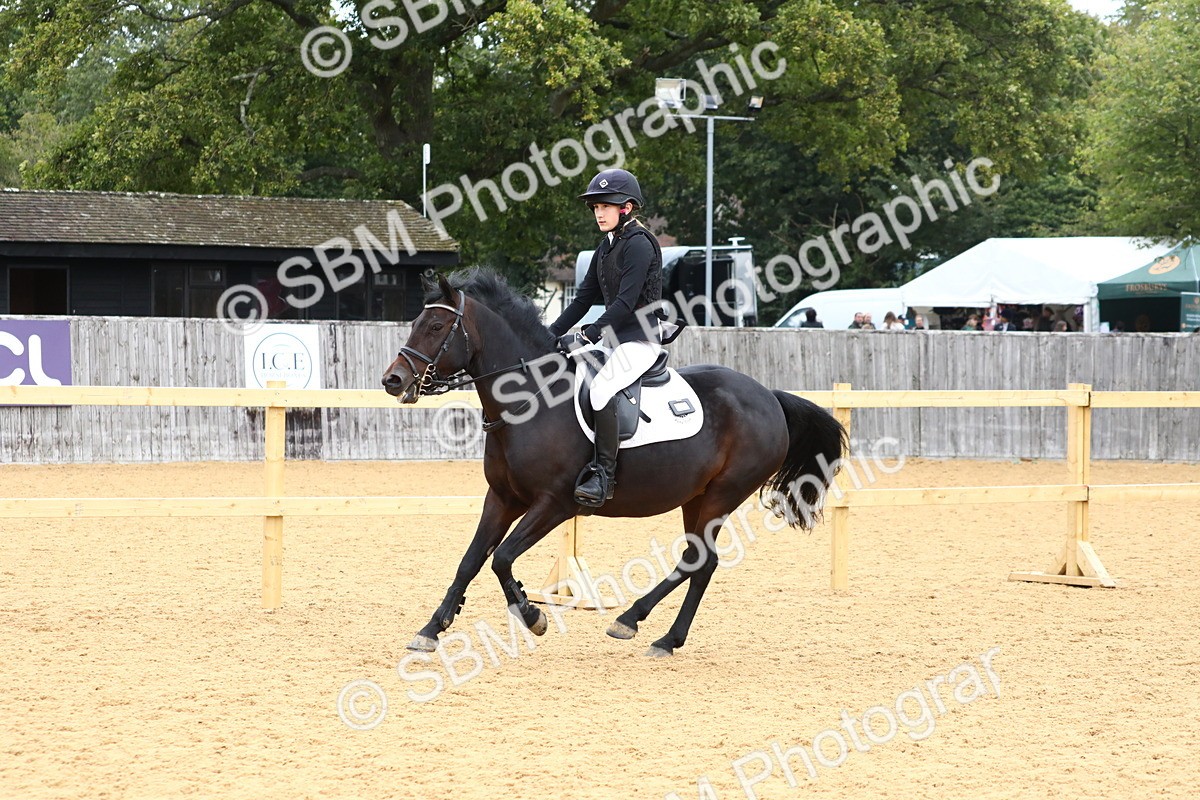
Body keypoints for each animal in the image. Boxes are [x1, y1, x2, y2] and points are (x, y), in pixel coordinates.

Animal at [382, 269, 847, 657]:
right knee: (699, 559)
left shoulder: (555, 504)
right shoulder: (501, 498)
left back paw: (647, 630)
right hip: (695, 497)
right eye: (416, 323)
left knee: (701, 559)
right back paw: (648, 628)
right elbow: (471, 561)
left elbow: (502, 559)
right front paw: (431, 629)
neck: (530, 401)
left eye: (437, 327)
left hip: (723, 493)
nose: (393, 380)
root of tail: (769, 396)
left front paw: (533, 616)